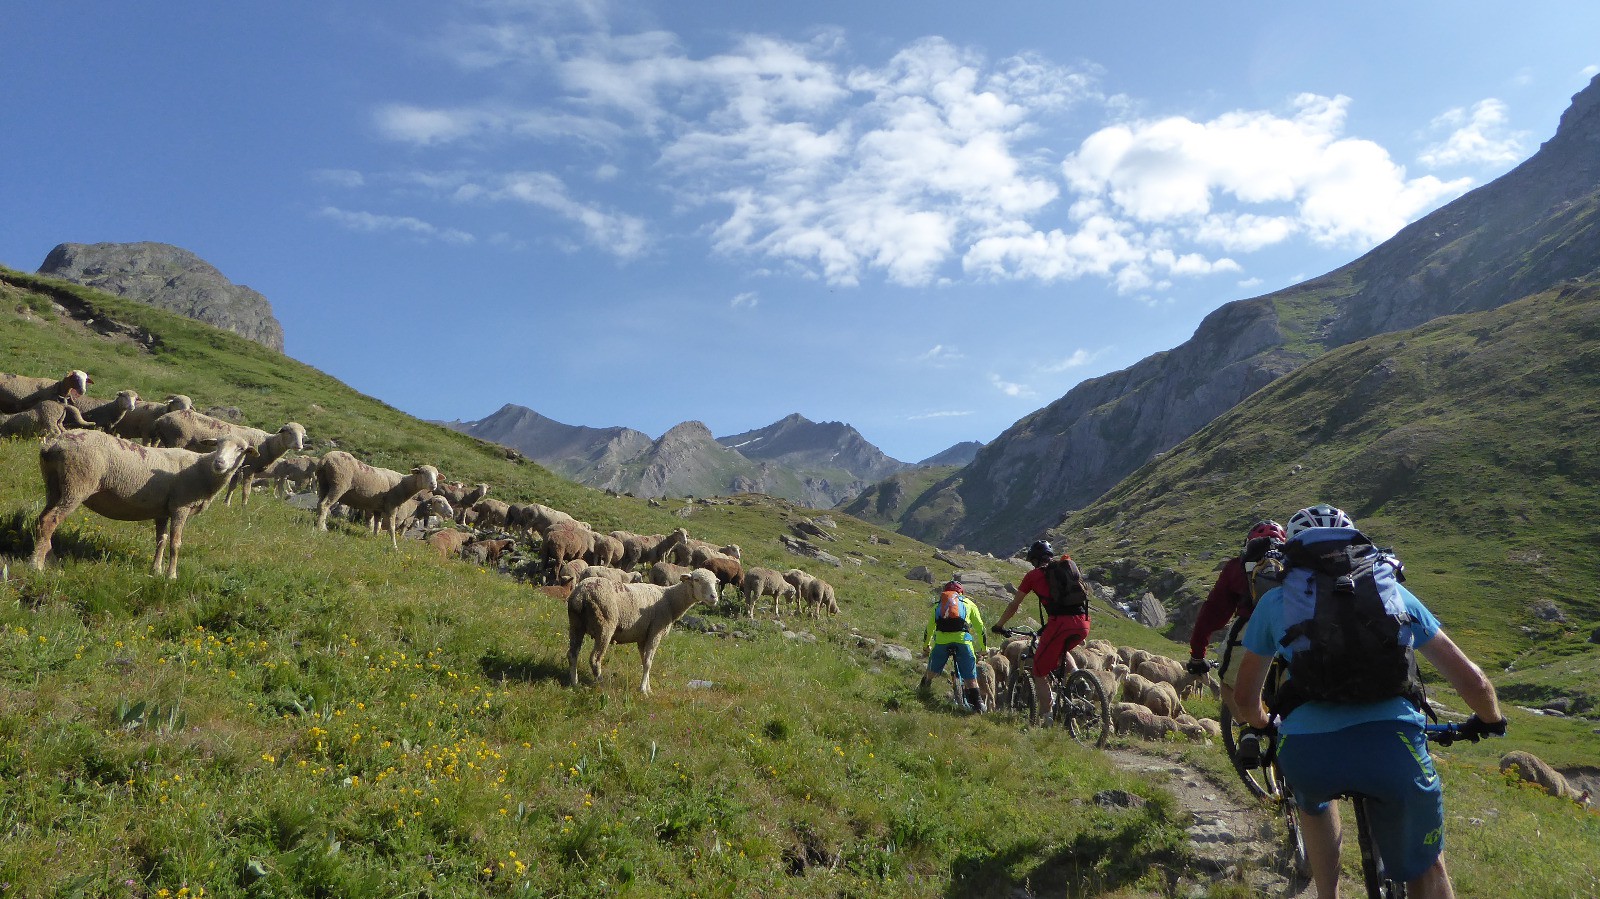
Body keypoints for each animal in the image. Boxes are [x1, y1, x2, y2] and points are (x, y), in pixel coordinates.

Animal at [312, 447, 441, 547]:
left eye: (436, 475)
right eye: (422, 472)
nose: (433, 484)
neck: (403, 485)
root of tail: (325, 459)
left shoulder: (378, 508)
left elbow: (377, 525)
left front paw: (374, 538)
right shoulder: (391, 506)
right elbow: (391, 527)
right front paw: (394, 546)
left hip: (324, 484)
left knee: (319, 504)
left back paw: (320, 525)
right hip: (339, 483)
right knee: (324, 505)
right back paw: (321, 529)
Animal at [560, 566, 716, 694]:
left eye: (716, 582)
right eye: (696, 579)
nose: (714, 597)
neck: (669, 600)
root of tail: (581, 593)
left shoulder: (643, 637)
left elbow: (645, 661)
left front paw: (648, 688)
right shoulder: (655, 632)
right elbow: (648, 662)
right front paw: (643, 691)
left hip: (576, 624)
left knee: (572, 654)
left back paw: (574, 683)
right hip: (605, 626)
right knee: (595, 659)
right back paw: (601, 684)